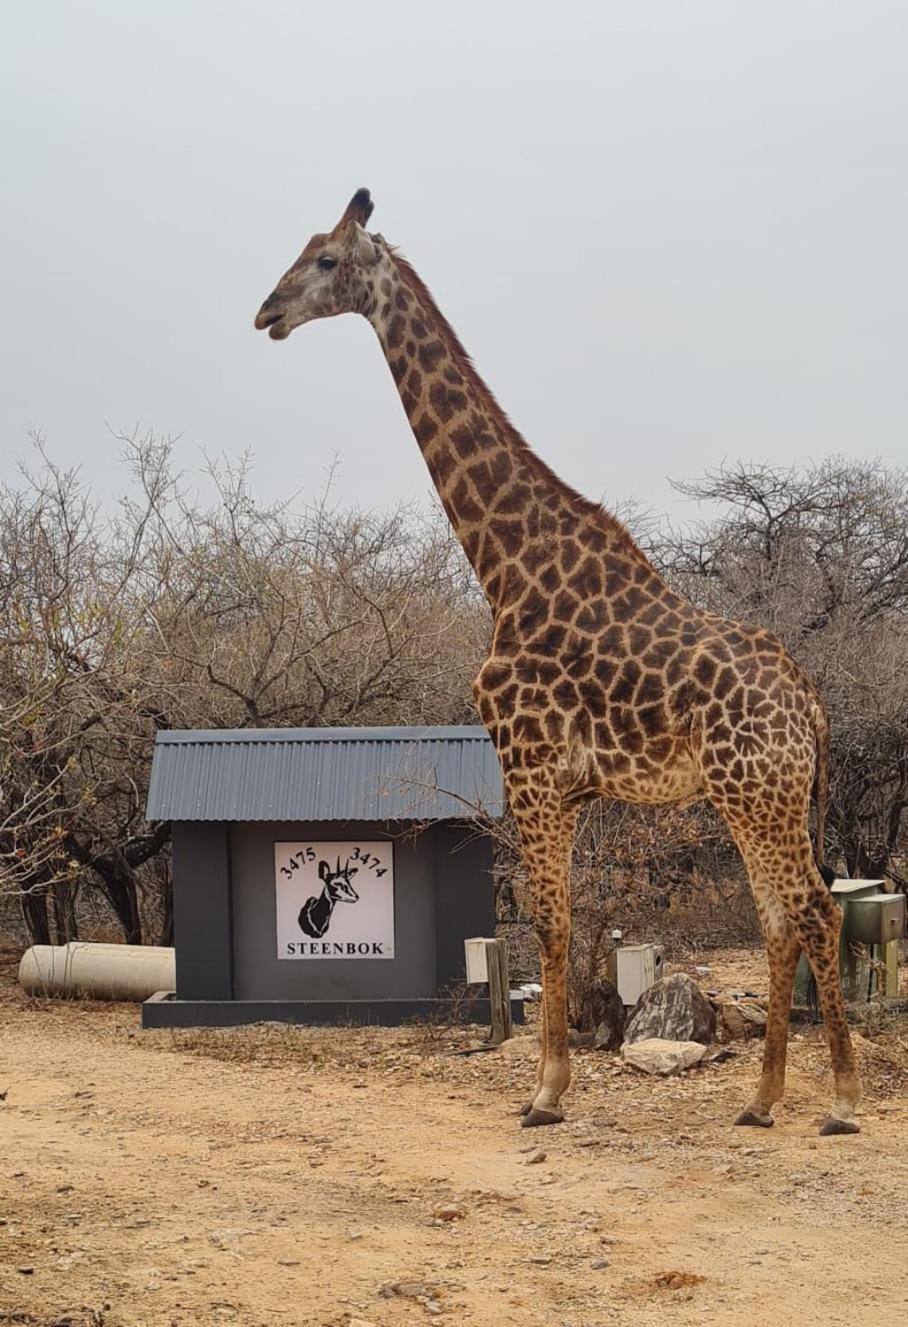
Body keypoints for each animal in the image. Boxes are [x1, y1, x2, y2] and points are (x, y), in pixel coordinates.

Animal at [253, 192, 860, 1135]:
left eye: (324, 260)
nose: (266, 312)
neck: (504, 567)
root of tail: (811, 702)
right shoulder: (566, 786)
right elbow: (561, 924)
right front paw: (553, 1082)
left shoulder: (530, 766)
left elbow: (547, 925)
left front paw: (543, 1092)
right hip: (761, 796)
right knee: (781, 919)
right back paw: (761, 1100)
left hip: (759, 793)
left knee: (817, 912)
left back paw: (838, 1099)